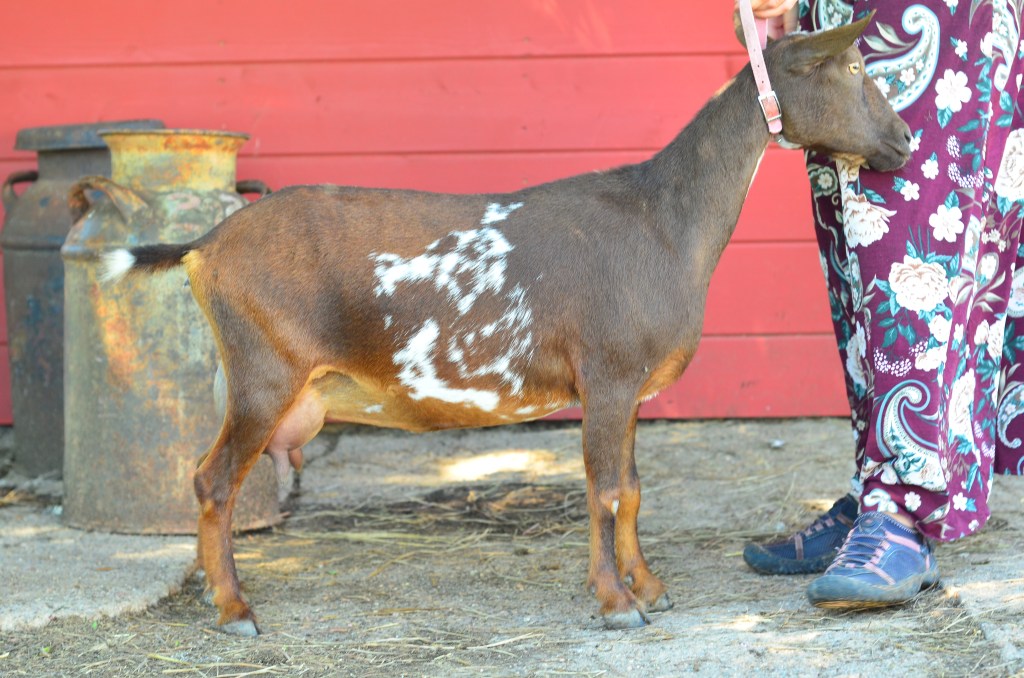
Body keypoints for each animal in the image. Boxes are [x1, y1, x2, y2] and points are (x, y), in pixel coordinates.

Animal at [101, 17, 910, 635]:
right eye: (854, 66)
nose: (903, 140)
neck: (663, 219)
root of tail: (205, 245)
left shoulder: (627, 388)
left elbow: (632, 489)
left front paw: (649, 587)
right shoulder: (607, 373)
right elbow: (603, 490)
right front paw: (617, 603)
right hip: (263, 370)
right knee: (212, 481)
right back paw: (234, 608)